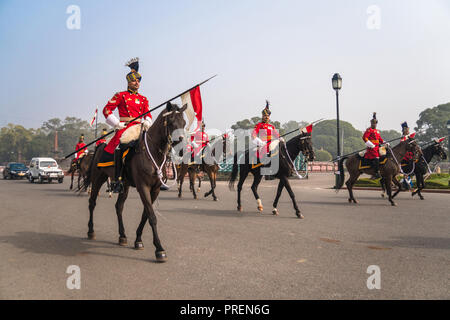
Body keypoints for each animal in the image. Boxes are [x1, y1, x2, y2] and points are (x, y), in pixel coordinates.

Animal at [83, 102, 185, 262]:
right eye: (172, 122)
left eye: (184, 123)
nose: (182, 149)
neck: (153, 152)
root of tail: (100, 145)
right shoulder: (143, 186)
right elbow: (152, 216)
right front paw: (159, 249)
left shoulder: (155, 189)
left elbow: (146, 214)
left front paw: (138, 240)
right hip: (98, 178)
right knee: (92, 203)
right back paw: (91, 231)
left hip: (124, 184)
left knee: (119, 206)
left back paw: (122, 236)